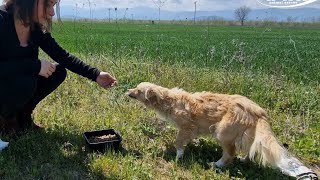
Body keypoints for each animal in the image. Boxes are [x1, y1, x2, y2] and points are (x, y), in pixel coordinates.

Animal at [127, 83, 318, 179]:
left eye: (138, 90)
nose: (127, 91)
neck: (169, 100)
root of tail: (258, 111)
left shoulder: (187, 127)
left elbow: (179, 142)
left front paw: (179, 155)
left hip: (223, 132)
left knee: (229, 154)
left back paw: (217, 164)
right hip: (246, 134)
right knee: (250, 150)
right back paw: (244, 160)